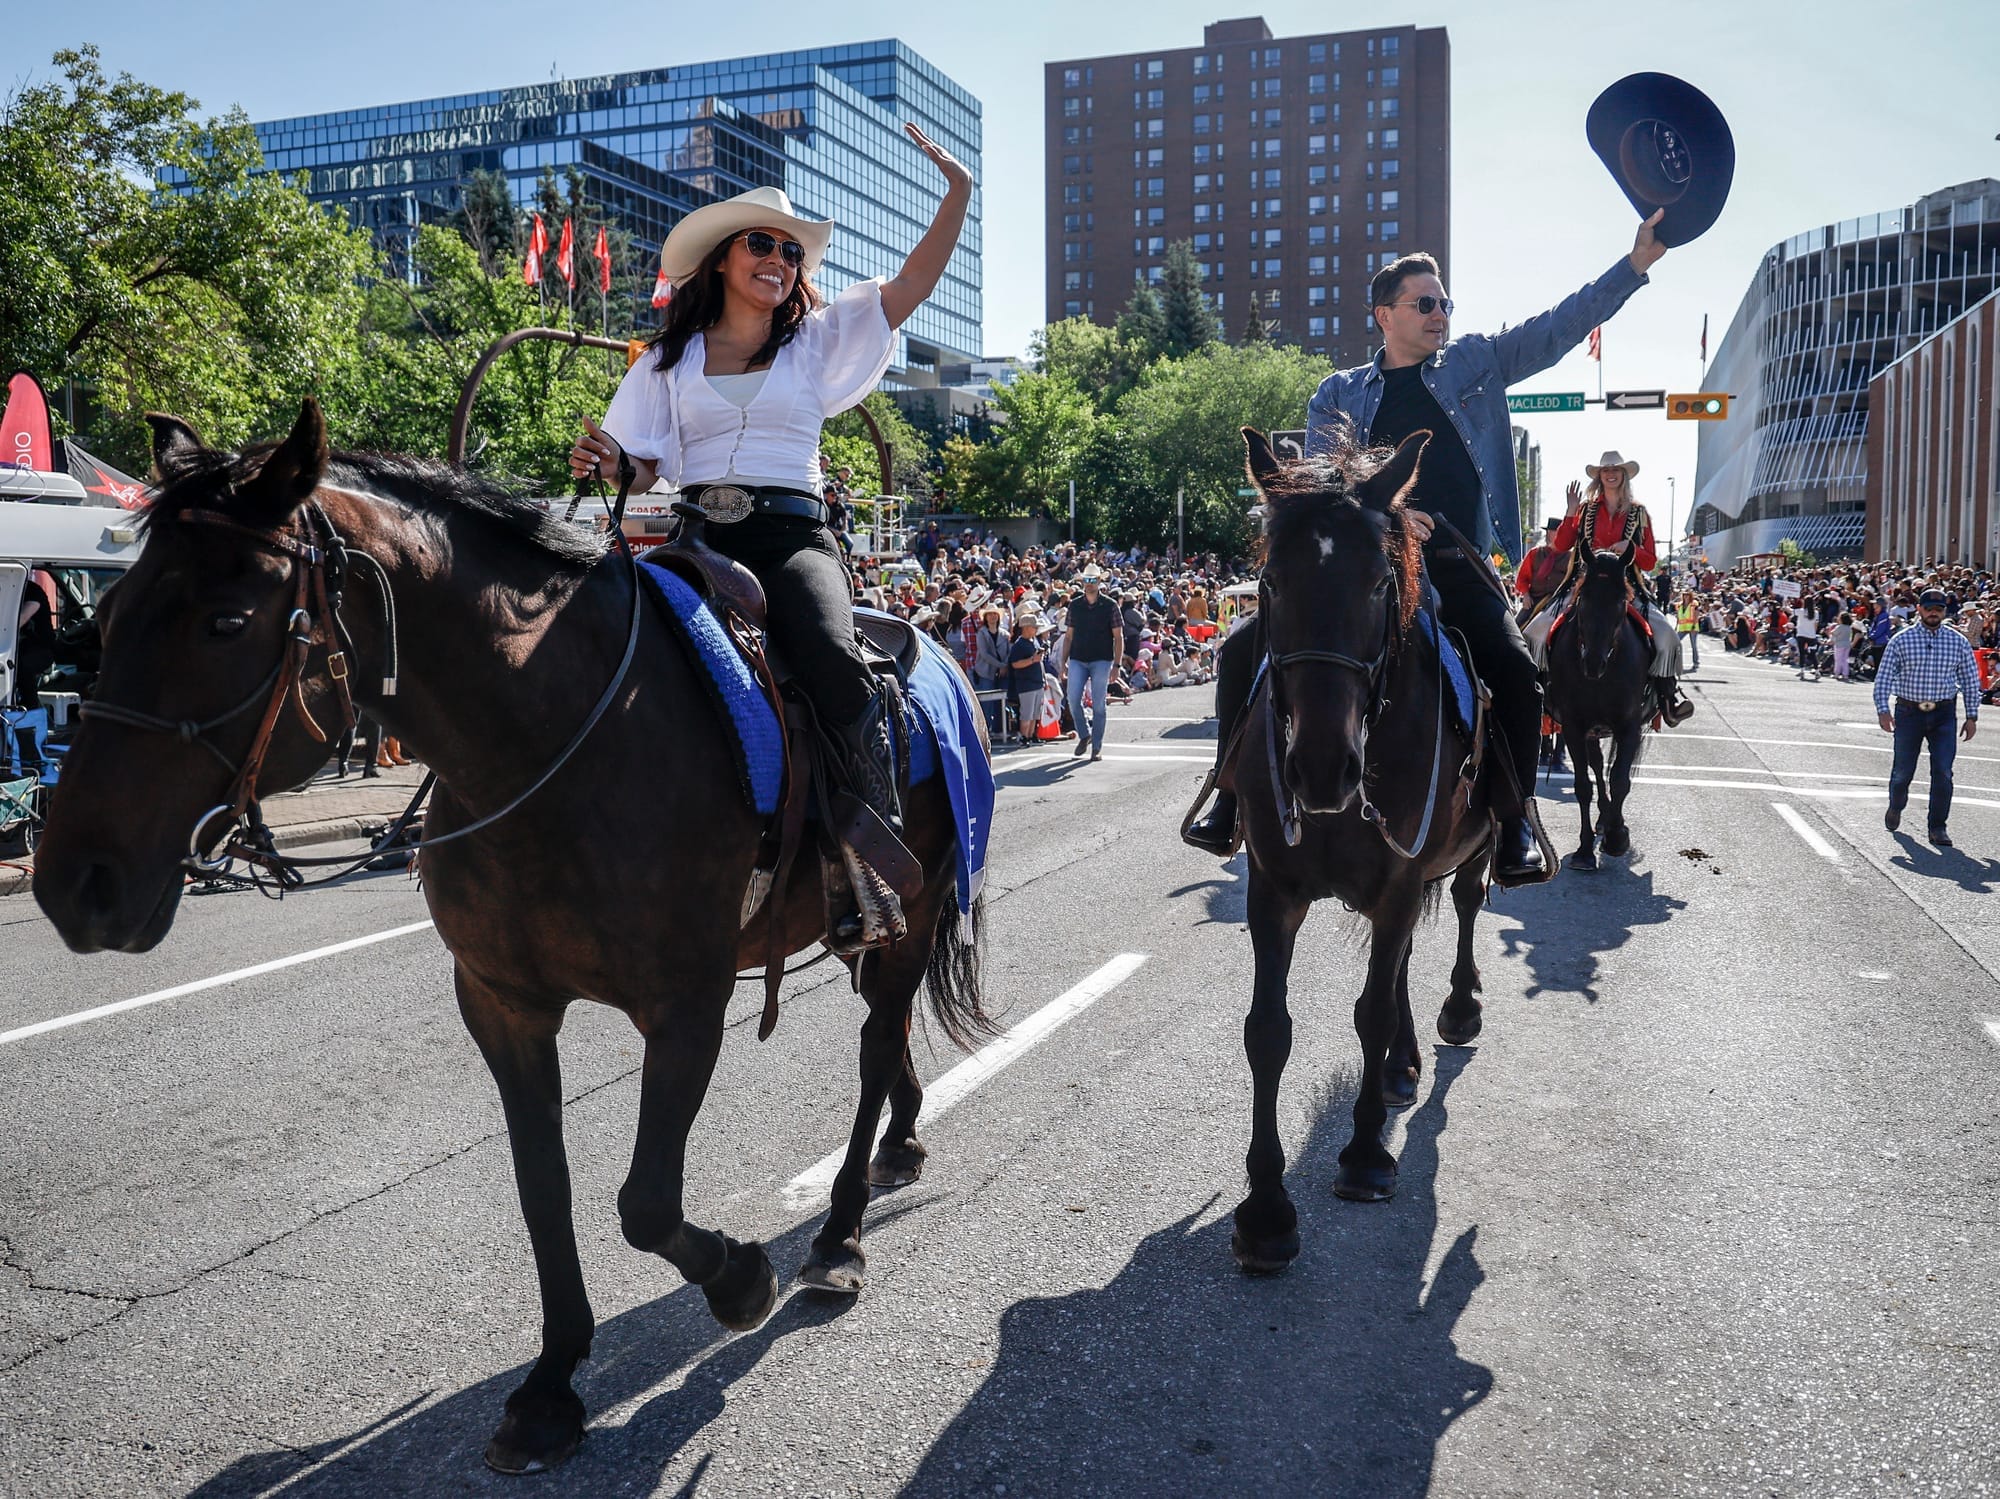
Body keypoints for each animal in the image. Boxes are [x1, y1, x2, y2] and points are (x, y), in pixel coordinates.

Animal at [31, 401, 992, 1479]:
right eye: (108, 614)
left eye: (227, 620)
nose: (74, 882)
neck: (552, 744)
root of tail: (934, 649)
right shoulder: (500, 1002)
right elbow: (545, 1187)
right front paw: (549, 1384)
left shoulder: (686, 1006)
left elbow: (645, 1200)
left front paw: (740, 1277)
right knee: (888, 1037)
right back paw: (901, 1139)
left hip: (913, 910)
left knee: (872, 1047)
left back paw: (837, 1235)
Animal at [1224, 425, 1496, 1279]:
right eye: (1269, 582)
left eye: (1380, 583)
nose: (1318, 767)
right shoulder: (1272, 890)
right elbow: (1268, 1031)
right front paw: (1266, 1208)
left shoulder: (1401, 879)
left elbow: (1370, 1010)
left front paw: (1366, 1152)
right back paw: (1405, 1064)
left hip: (1470, 853)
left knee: (1465, 909)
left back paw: (1455, 1012)